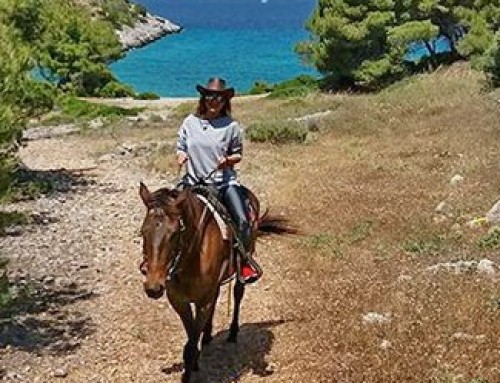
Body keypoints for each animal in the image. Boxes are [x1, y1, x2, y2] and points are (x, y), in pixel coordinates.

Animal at [139, 183, 292, 383]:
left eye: (174, 234)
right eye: (143, 232)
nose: (153, 287)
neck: (192, 255)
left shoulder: (203, 301)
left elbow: (190, 347)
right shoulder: (179, 301)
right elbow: (191, 337)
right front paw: (196, 358)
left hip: (242, 265)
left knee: (237, 294)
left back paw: (233, 333)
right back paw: (207, 335)